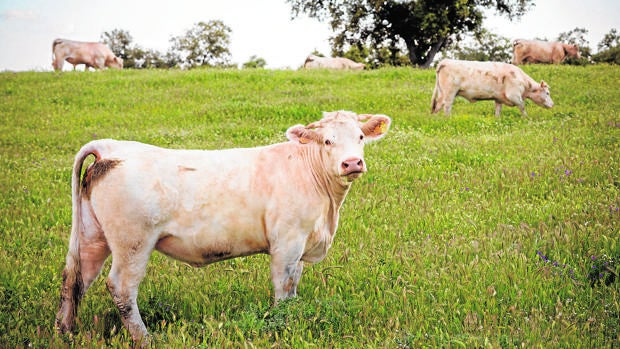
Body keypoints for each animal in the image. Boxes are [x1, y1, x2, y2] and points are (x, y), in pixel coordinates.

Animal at [55, 111, 390, 342]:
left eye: (360, 138)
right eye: (328, 140)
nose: (352, 163)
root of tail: (111, 147)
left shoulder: (301, 245)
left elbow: (294, 286)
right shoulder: (287, 242)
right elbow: (283, 287)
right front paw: (283, 324)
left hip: (92, 236)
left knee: (76, 279)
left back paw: (65, 331)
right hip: (133, 242)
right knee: (122, 288)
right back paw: (144, 339)